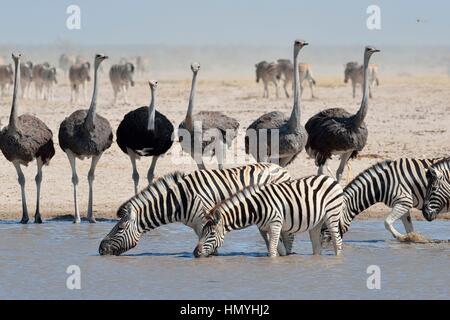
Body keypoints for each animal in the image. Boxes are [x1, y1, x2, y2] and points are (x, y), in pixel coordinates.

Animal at [97, 164, 292, 256]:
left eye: (120, 228)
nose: (100, 249)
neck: (179, 200)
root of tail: (281, 168)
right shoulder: (199, 225)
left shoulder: (205, 222)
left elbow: (210, 247)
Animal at [194, 175, 344, 258]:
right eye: (202, 231)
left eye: (212, 233)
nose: (195, 253)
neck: (256, 208)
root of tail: (330, 178)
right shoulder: (263, 228)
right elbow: (278, 249)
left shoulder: (275, 224)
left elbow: (272, 250)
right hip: (316, 222)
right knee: (317, 246)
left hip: (332, 214)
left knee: (337, 241)